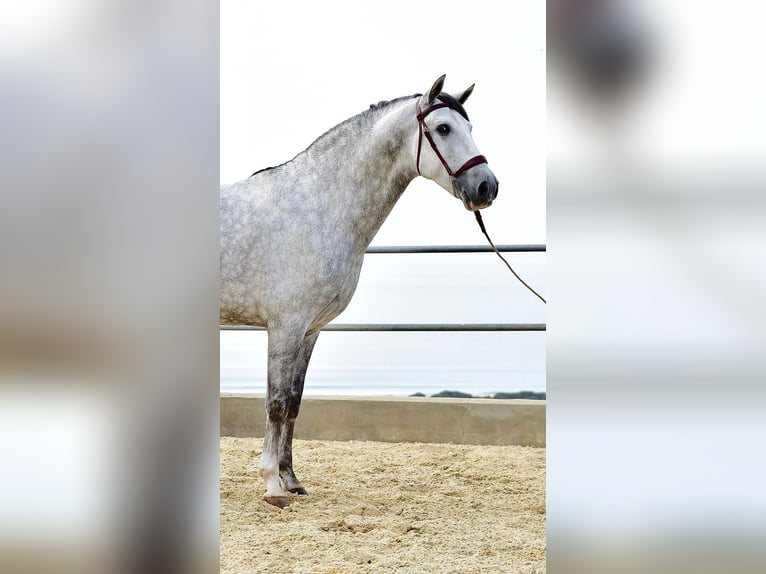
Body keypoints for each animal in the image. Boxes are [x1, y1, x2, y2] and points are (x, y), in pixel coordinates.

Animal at [220, 75, 499, 507]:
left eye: (470, 127)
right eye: (443, 128)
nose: (487, 186)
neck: (316, 209)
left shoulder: (310, 330)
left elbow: (294, 403)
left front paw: (291, 480)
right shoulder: (285, 327)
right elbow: (276, 403)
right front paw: (272, 486)